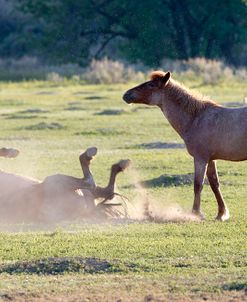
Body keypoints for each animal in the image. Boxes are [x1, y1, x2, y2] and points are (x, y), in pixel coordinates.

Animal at [123, 71, 247, 222]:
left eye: (151, 85)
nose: (126, 94)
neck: (196, 118)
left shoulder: (200, 158)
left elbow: (198, 185)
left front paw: (196, 213)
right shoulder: (210, 159)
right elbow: (214, 184)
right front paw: (221, 213)